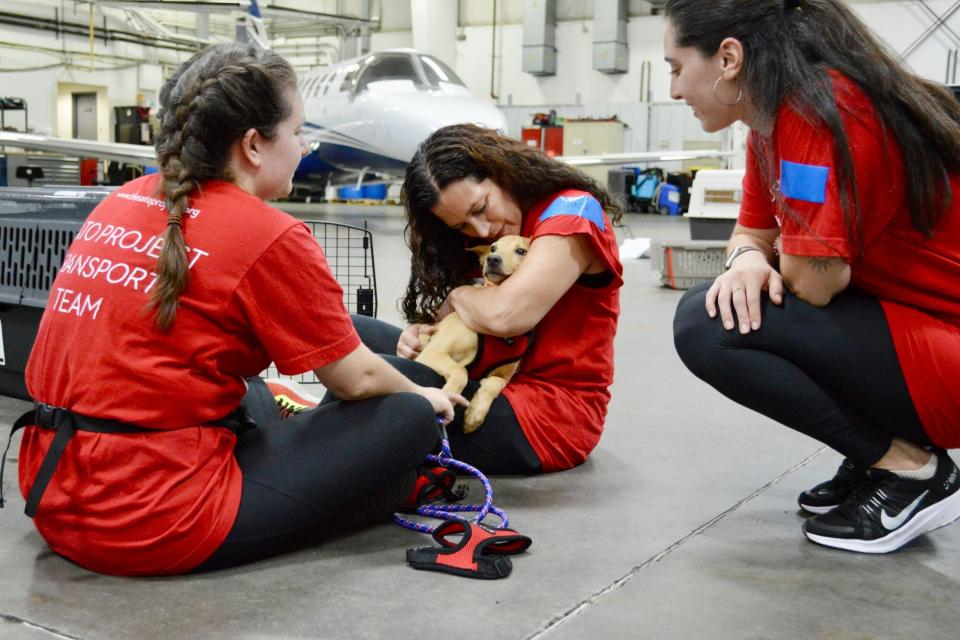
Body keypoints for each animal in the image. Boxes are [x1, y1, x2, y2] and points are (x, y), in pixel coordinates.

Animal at [412, 235, 532, 436]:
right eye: (493, 248)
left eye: (521, 251)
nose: (493, 259)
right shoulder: (433, 353)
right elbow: (461, 372)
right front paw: (448, 396)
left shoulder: (503, 377)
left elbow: (494, 383)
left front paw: (475, 414)